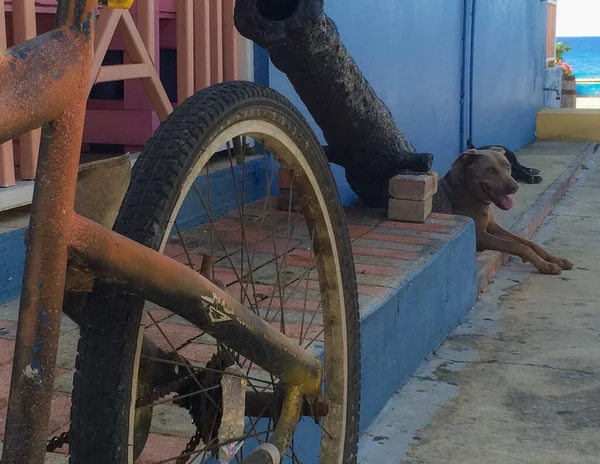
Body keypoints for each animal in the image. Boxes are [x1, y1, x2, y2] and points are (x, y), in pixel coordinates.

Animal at [432, 147, 572, 274]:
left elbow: (527, 242)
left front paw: (556, 260)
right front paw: (545, 265)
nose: (515, 187)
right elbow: (518, 246)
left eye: (508, 167)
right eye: (490, 169)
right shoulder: (479, 236)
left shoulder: (493, 227)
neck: (467, 191)